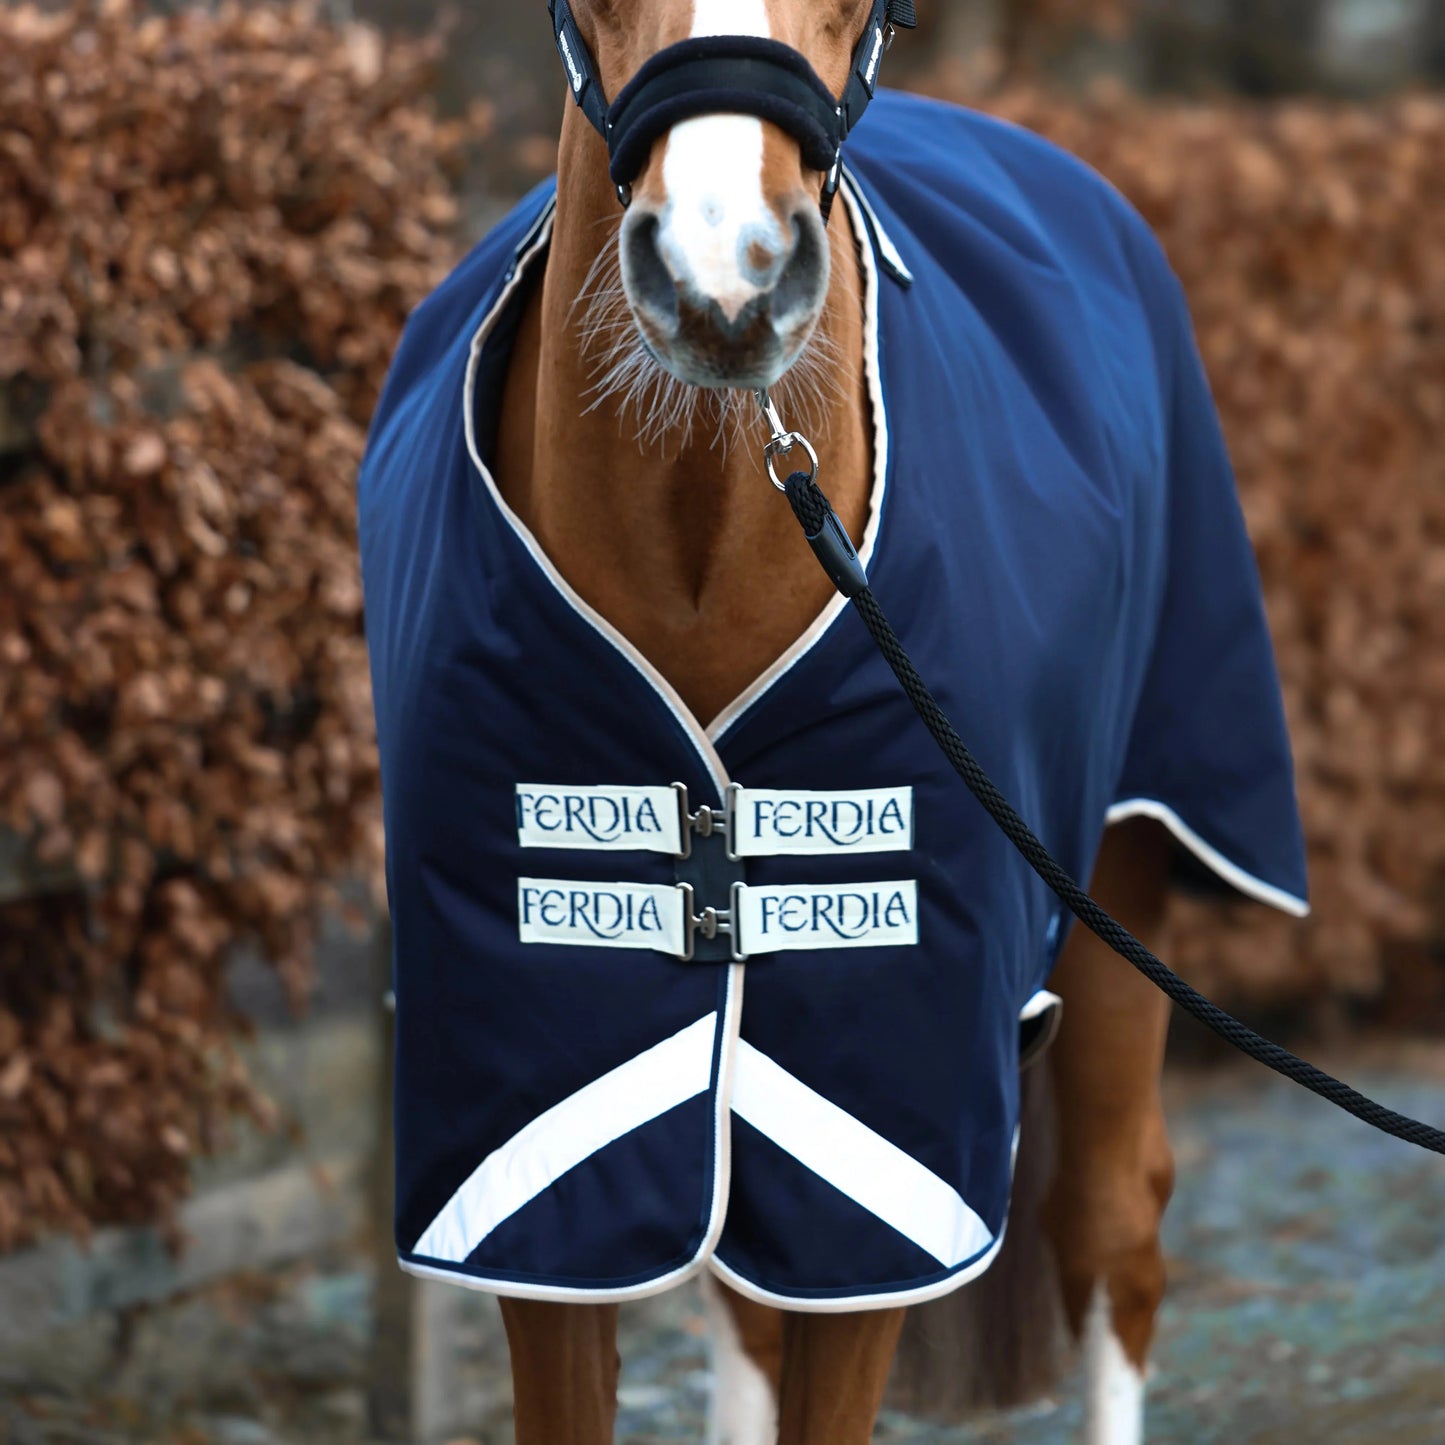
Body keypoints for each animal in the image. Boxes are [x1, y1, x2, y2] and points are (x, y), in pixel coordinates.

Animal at [358, 2, 1309, 1441]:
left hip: (1118, 893)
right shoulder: (524, 1166)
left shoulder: (888, 1167)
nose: (726, 273)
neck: (701, 548)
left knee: (1112, 1235)